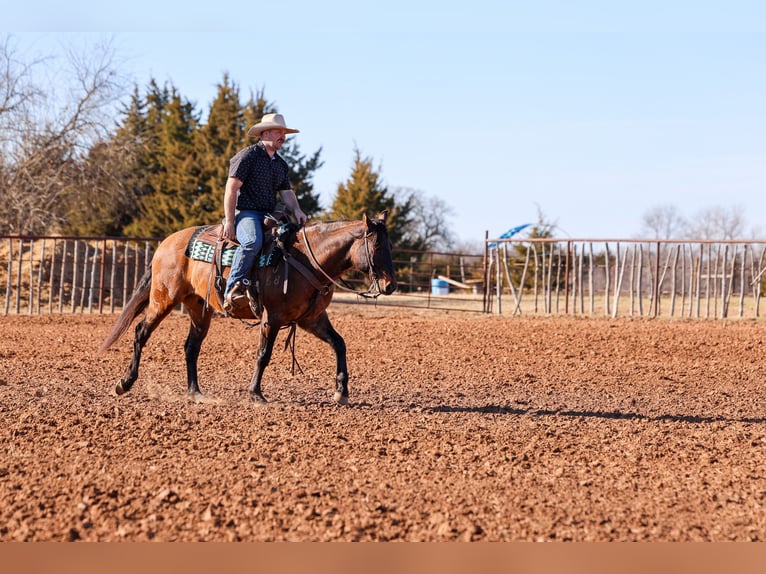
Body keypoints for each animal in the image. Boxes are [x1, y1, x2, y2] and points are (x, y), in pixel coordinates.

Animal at [99, 211, 397, 405]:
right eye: (377, 245)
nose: (391, 285)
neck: (306, 261)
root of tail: (166, 244)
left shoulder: (312, 319)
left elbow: (339, 344)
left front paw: (341, 392)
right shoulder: (272, 318)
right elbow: (263, 354)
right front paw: (255, 393)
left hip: (199, 309)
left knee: (191, 347)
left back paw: (196, 392)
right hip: (163, 299)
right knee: (141, 332)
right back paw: (124, 383)